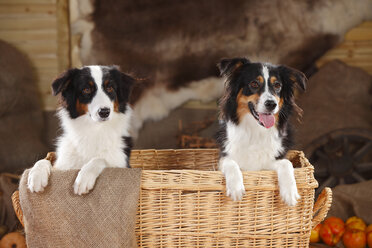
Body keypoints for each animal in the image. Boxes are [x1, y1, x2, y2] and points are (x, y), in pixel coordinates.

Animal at [28, 66, 135, 196]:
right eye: (86, 89)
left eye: (110, 88)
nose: (104, 112)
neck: (94, 129)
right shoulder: (62, 165)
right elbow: (43, 161)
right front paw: (35, 176)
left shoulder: (121, 164)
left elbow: (100, 159)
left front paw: (84, 178)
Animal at [217, 57, 306, 205]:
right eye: (254, 83)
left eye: (277, 85)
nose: (271, 104)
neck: (256, 130)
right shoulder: (225, 157)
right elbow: (230, 163)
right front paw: (236, 188)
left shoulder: (270, 161)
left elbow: (286, 163)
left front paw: (290, 192)